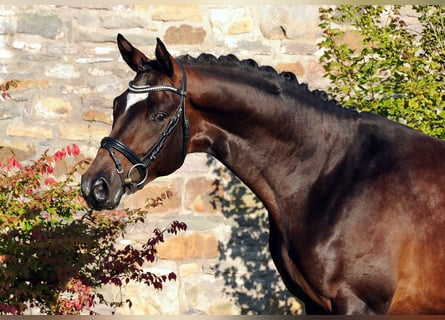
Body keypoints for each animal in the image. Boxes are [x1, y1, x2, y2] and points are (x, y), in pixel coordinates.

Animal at [81, 33, 444, 314]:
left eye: (158, 115)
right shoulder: (315, 305)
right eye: (116, 105)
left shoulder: (360, 304)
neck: (334, 176)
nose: (94, 185)